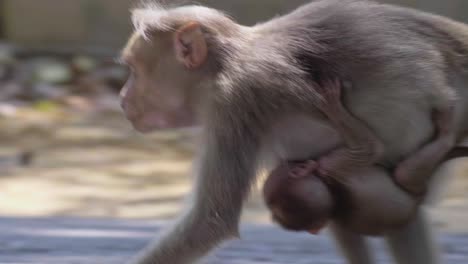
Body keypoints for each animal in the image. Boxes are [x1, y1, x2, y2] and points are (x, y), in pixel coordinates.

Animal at [266, 78, 456, 235]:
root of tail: (417, 202)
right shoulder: (329, 165)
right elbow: (369, 148)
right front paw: (333, 107)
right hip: (414, 187)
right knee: (404, 173)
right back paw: (447, 132)